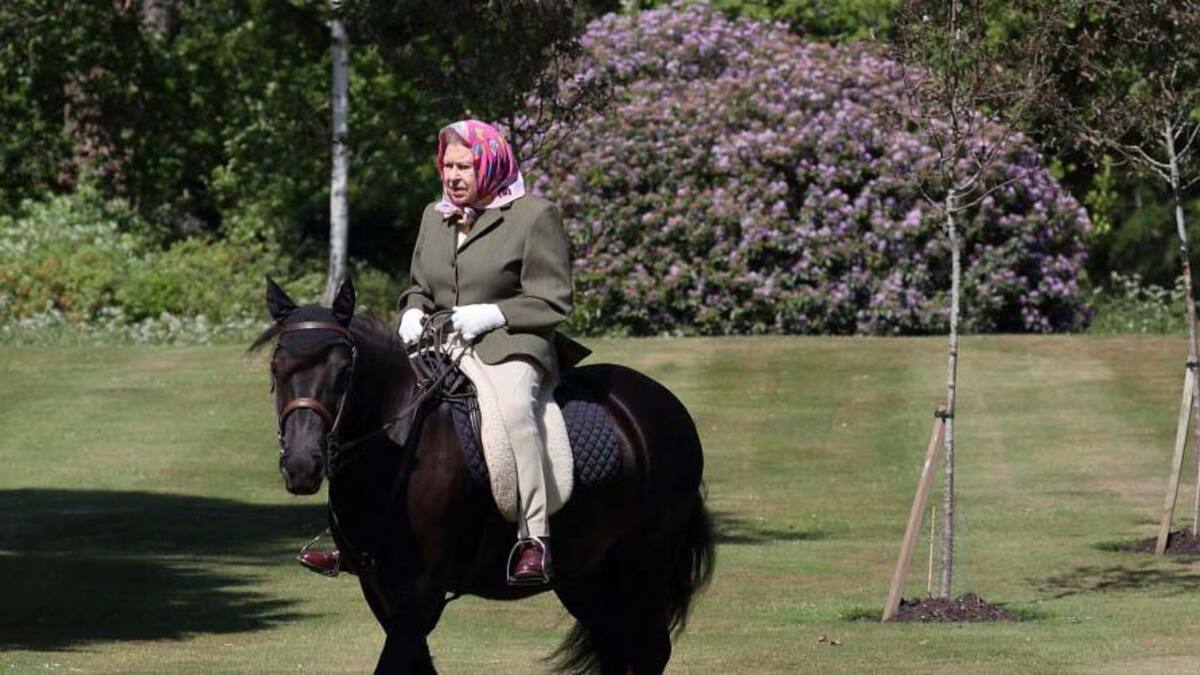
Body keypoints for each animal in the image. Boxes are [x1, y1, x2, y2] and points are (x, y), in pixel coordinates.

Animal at [252, 276, 714, 674]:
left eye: (344, 371)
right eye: (276, 368)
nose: (302, 465)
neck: (394, 445)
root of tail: (665, 405)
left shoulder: (420, 594)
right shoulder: (380, 589)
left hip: (643, 565)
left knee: (650, 650)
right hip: (586, 574)